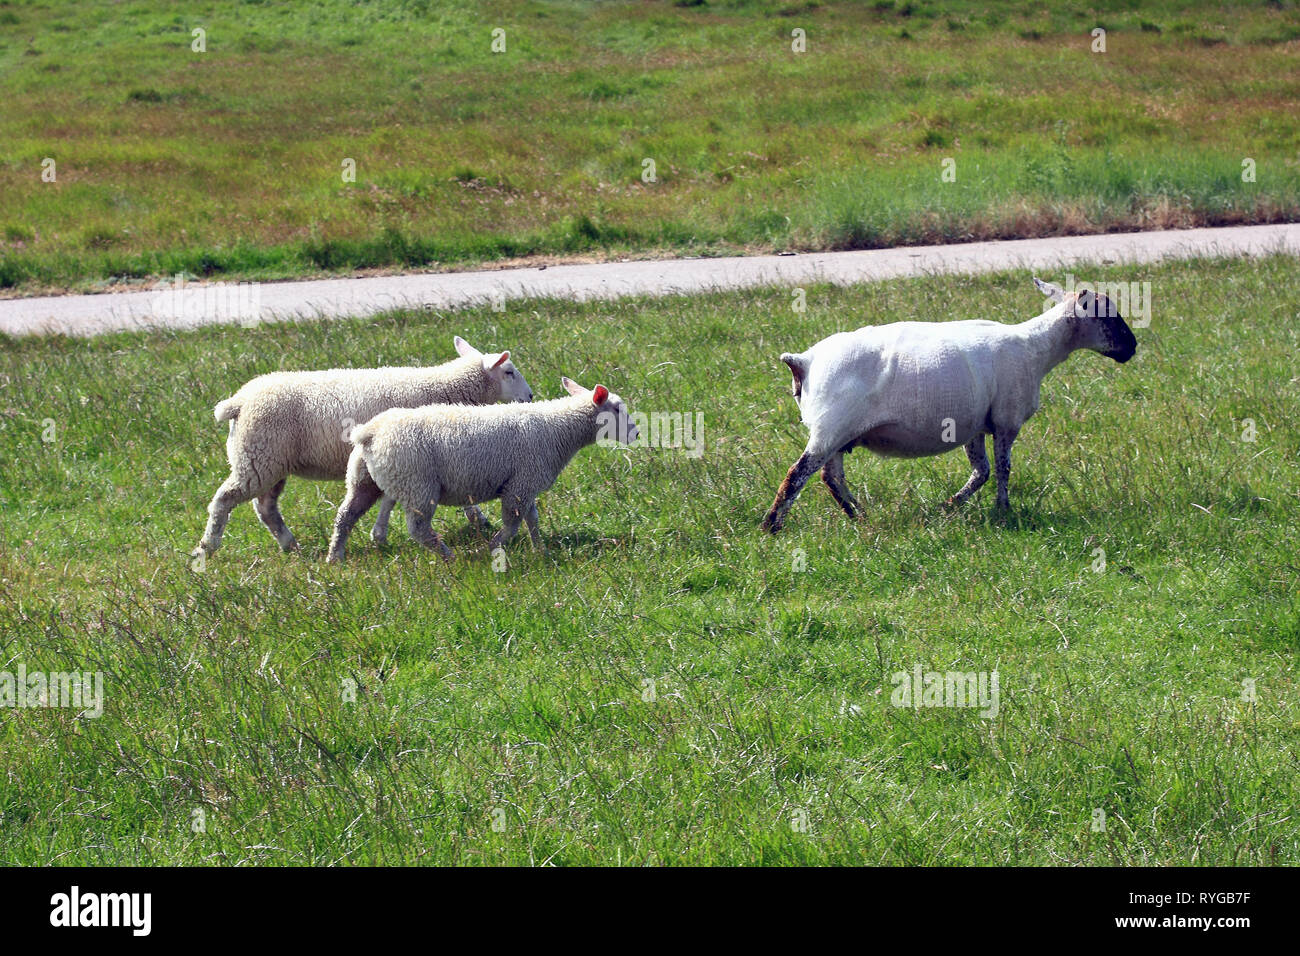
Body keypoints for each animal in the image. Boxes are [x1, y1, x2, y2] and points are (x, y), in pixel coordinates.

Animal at [194, 336, 534, 557]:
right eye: (509, 372)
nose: (530, 397)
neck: (444, 388)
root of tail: (238, 402)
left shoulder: (394, 456)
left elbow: (388, 498)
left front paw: (378, 534)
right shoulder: (418, 450)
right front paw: (479, 518)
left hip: (269, 461)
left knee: (266, 507)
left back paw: (290, 544)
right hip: (258, 458)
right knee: (224, 500)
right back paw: (208, 547)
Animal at [326, 376, 639, 563]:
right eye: (617, 410)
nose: (636, 434)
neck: (558, 428)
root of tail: (369, 433)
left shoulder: (525, 483)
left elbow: (532, 520)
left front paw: (540, 550)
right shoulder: (521, 485)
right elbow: (512, 525)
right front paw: (491, 548)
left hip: (363, 479)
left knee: (346, 516)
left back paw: (335, 557)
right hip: (417, 484)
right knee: (418, 529)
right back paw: (449, 557)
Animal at [761, 277, 1138, 532]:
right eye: (1108, 315)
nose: (1132, 348)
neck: (1037, 348)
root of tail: (803, 361)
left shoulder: (975, 424)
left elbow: (981, 471)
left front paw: (950, 505)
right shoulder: (1006, 420)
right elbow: (1003, 469)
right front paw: (1003, 510)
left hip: (837, 433)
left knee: (831, 476)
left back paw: (860, 516)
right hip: (831, 427)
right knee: (798, 474)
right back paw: (772, 526)